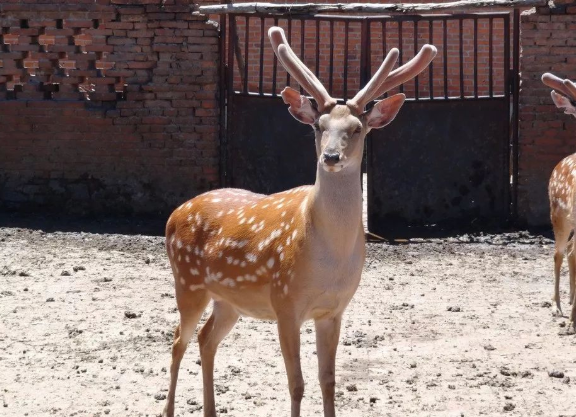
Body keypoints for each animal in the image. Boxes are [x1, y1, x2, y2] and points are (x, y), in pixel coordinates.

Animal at [162, 26, 436, 416]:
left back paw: (211, 409)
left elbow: (328, 381)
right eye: (319, 126)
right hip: (187, 283)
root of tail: (173, 214)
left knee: (205, 338)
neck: (328, 258)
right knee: (177, 340)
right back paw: (169, 408)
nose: (331, 157)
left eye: (357, 128)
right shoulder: (285, 302)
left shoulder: (333, 309)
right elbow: (296, 383)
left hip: (228, 300)